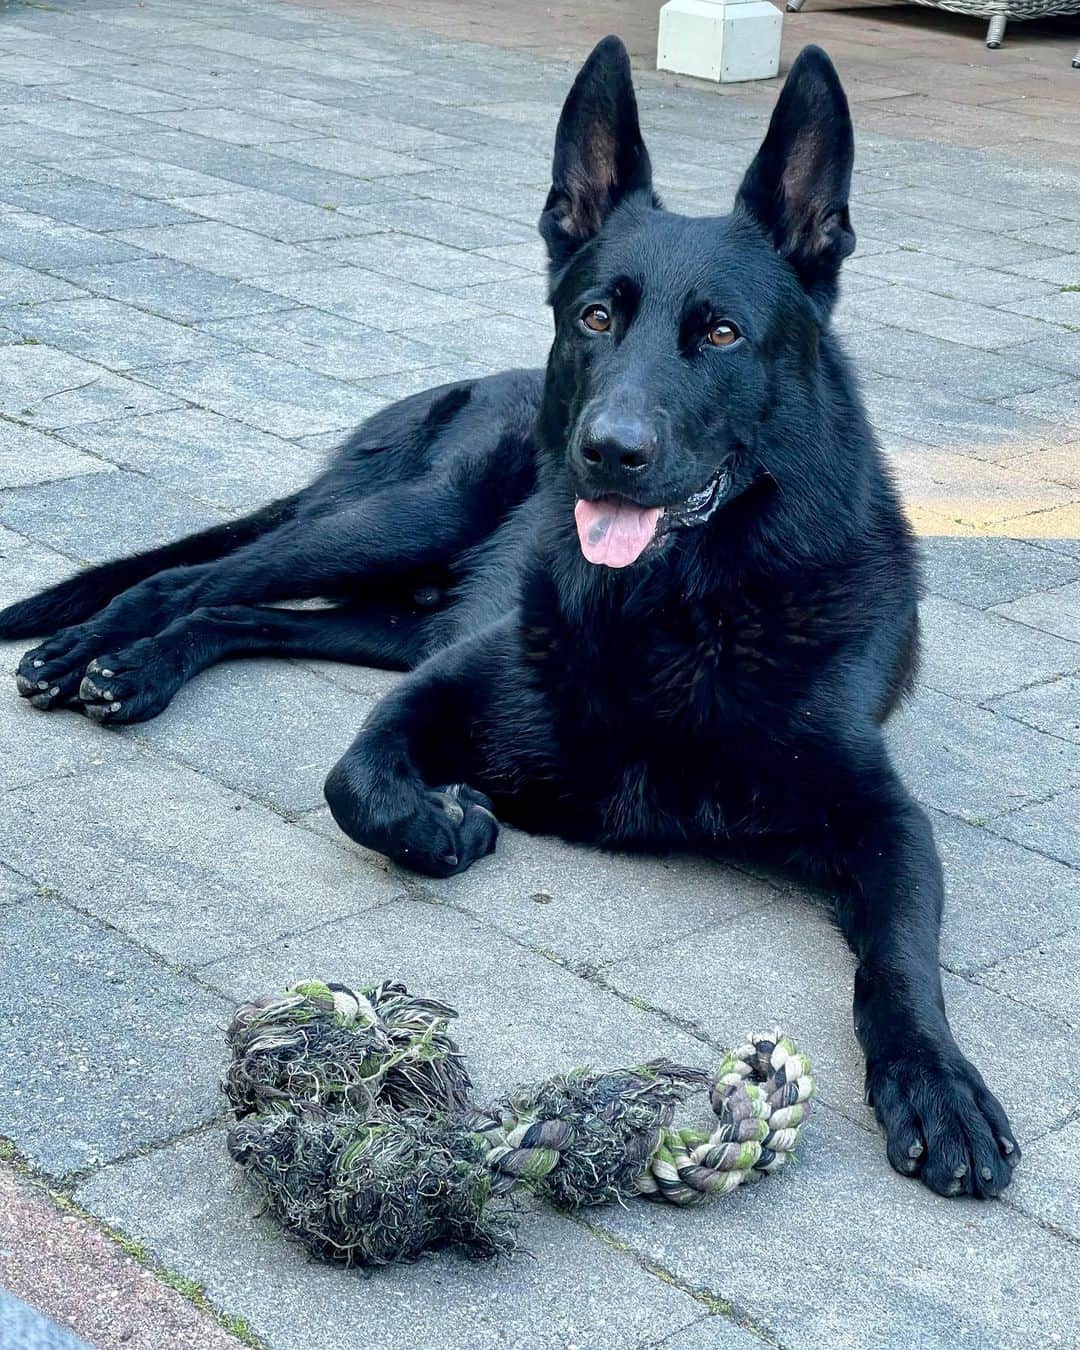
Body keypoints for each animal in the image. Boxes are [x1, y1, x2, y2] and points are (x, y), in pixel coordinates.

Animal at [0, 42, 1015, 1198]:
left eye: (721, 332)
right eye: (595, 317)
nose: (608, 450)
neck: (677, 612)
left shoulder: (882, 818)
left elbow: (902, 956)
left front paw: (936, 1081)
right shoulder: (441, 689)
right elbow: (354, 785)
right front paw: (443, 823)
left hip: (397, 614)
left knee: (244, 610)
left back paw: (140, 667)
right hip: (400, 524)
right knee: (191, 580)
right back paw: (97, 656)